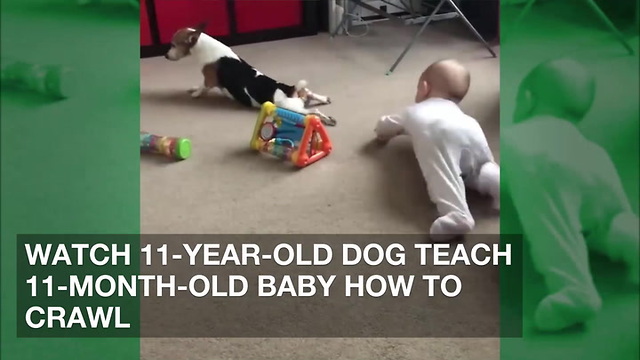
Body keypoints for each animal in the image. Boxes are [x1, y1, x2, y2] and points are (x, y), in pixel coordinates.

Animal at [165, 22, 338, 126]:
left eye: (173, 45)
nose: (165, 56)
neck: (202, 46)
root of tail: (289, 89)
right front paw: (193, 88)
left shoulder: (209, 79)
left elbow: (203, 86)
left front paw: (195, 93)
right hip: (300, 95)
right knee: (309, 92)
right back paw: (323, 99)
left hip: (292, 108)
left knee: (313, 112)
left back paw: (327, 119)